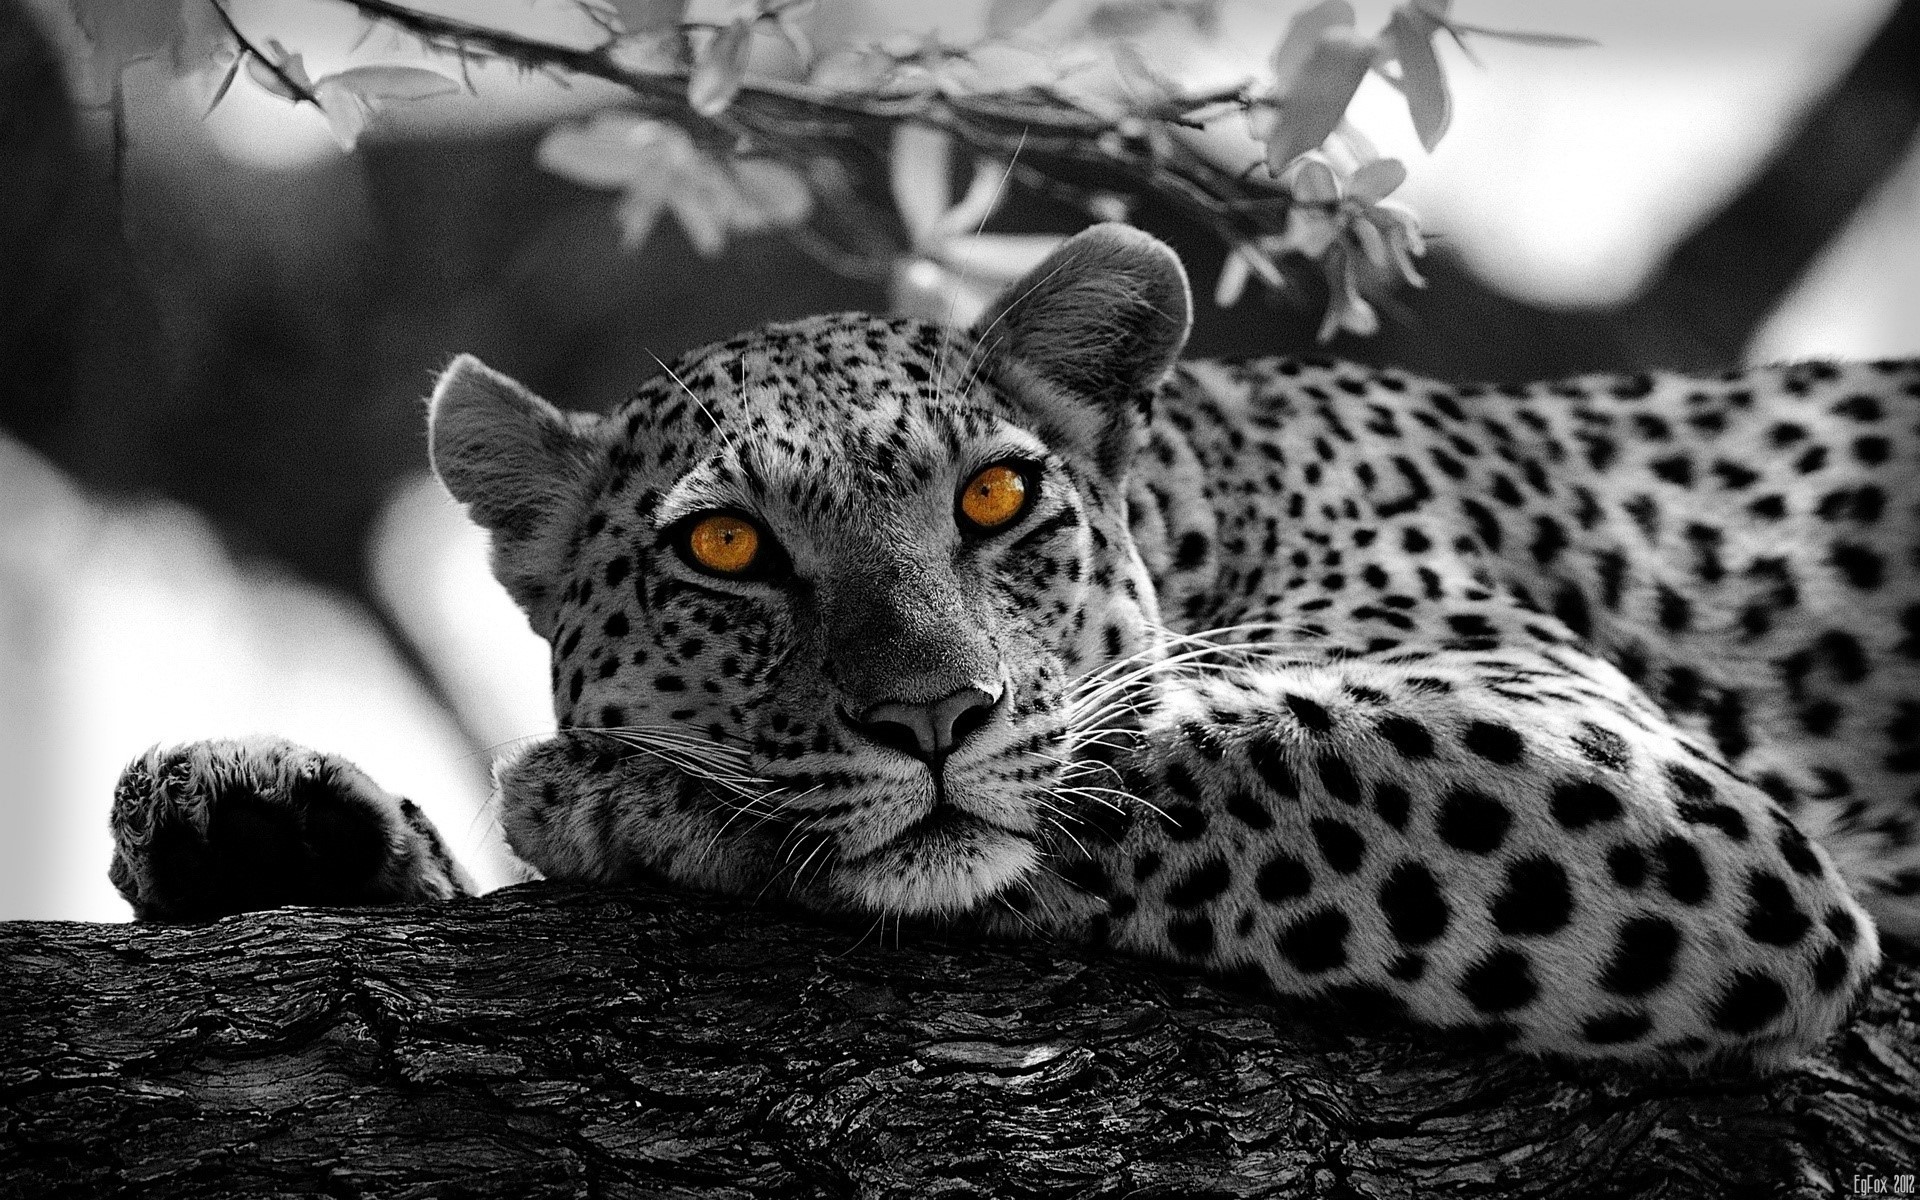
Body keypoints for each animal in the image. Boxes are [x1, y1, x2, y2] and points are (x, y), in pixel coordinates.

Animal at [108, 224, 1920, 1071]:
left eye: (993, 496)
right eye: (724, 547)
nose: (932, 714)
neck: (1213, 501)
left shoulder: (1646, 795)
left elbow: (1145, 767)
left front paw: (611, 794)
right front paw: (257, 811)